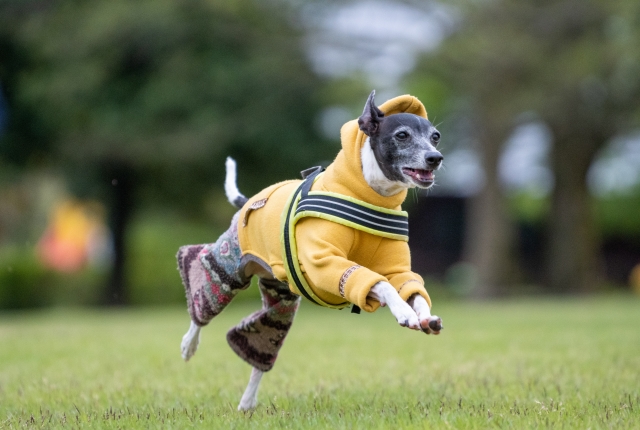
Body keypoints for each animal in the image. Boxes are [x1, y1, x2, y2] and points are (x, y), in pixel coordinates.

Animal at [178, 90, 442, 410]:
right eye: (402, 135)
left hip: (280, 303)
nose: (435, 158)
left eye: (435, 137)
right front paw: (404, 312)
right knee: (201, 290)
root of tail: (247, 201)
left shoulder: (398, 270)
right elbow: (380, 284)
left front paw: (424, 315)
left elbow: (411, 289)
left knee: (260, 352)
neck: (369, 194)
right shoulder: (325, 264)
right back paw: (189, 343)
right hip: (229, 268)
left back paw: (247, 402)